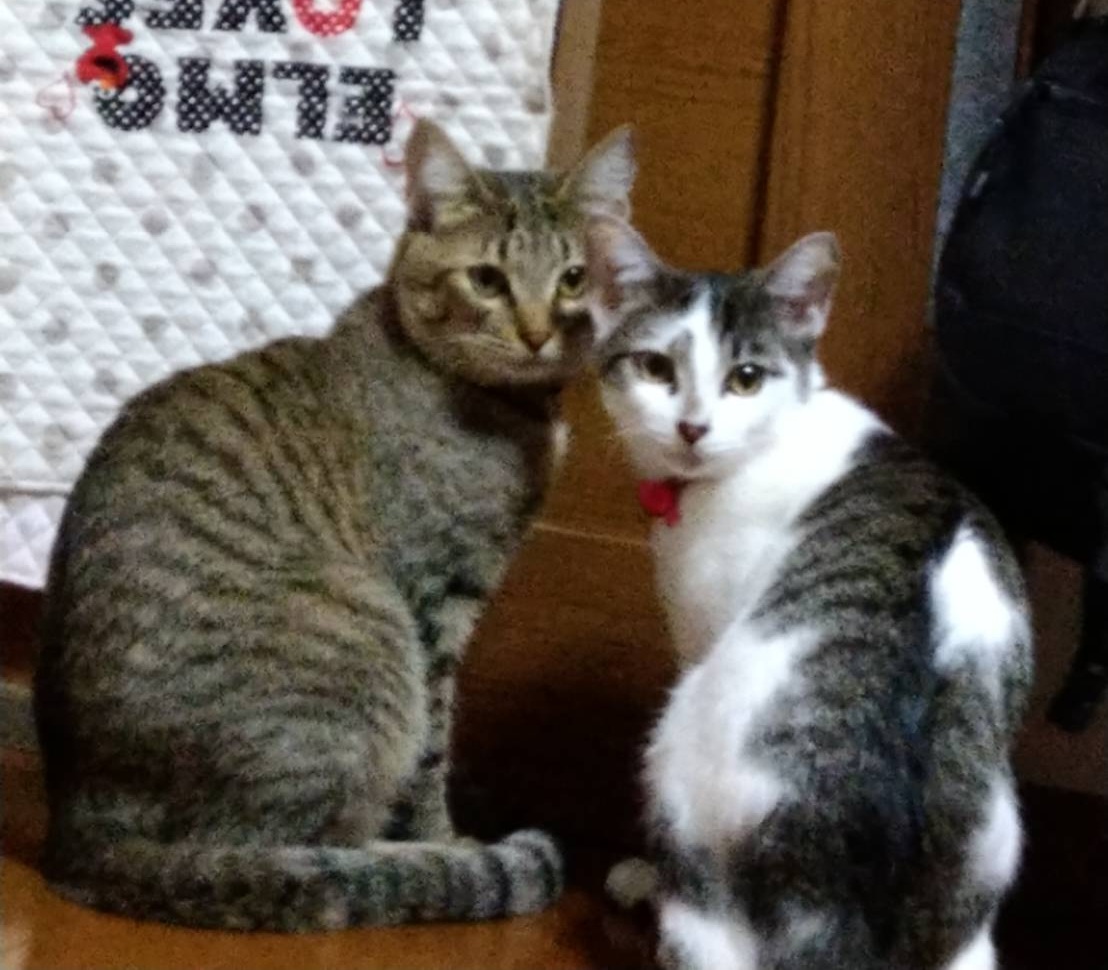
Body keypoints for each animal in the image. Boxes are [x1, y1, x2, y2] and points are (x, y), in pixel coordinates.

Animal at [32, 119, 635, 932]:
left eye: (573, 278)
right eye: (487, 280)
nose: (539, 333)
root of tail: (77, 831)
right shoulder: (434, 596)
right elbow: (432, 751)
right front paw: (445, 838)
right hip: (366, 640)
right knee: (290, 853)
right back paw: (414, 863)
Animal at [585, 218, 1033, 970]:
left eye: (745, 379)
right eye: (655, 369)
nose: (693, 428)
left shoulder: (702, 624)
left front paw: (638, 873)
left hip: (682, 743)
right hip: (992, 863)